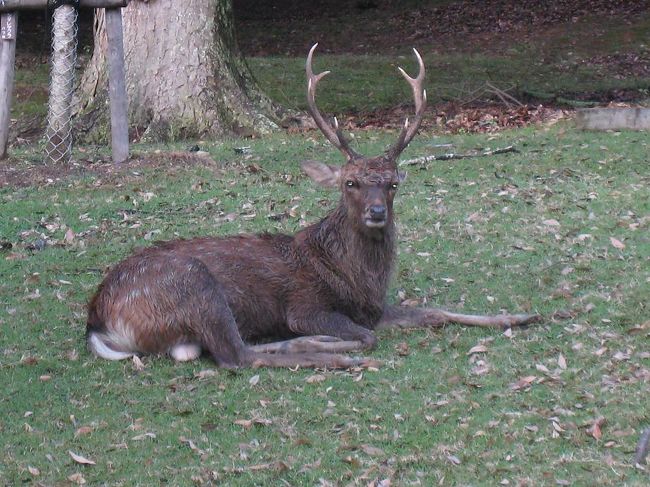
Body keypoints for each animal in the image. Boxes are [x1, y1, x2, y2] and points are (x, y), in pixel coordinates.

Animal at [88, 44, 540, 370]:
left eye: (392, 184)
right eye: (350, 183)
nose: (377, 213)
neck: (358, 278)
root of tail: (97, 318)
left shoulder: (371, 309)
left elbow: (435, 312)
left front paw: (518, 317)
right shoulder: (306, 306)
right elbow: (369, 333)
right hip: (195, 287)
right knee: (236, 357)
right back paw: (336, 355)